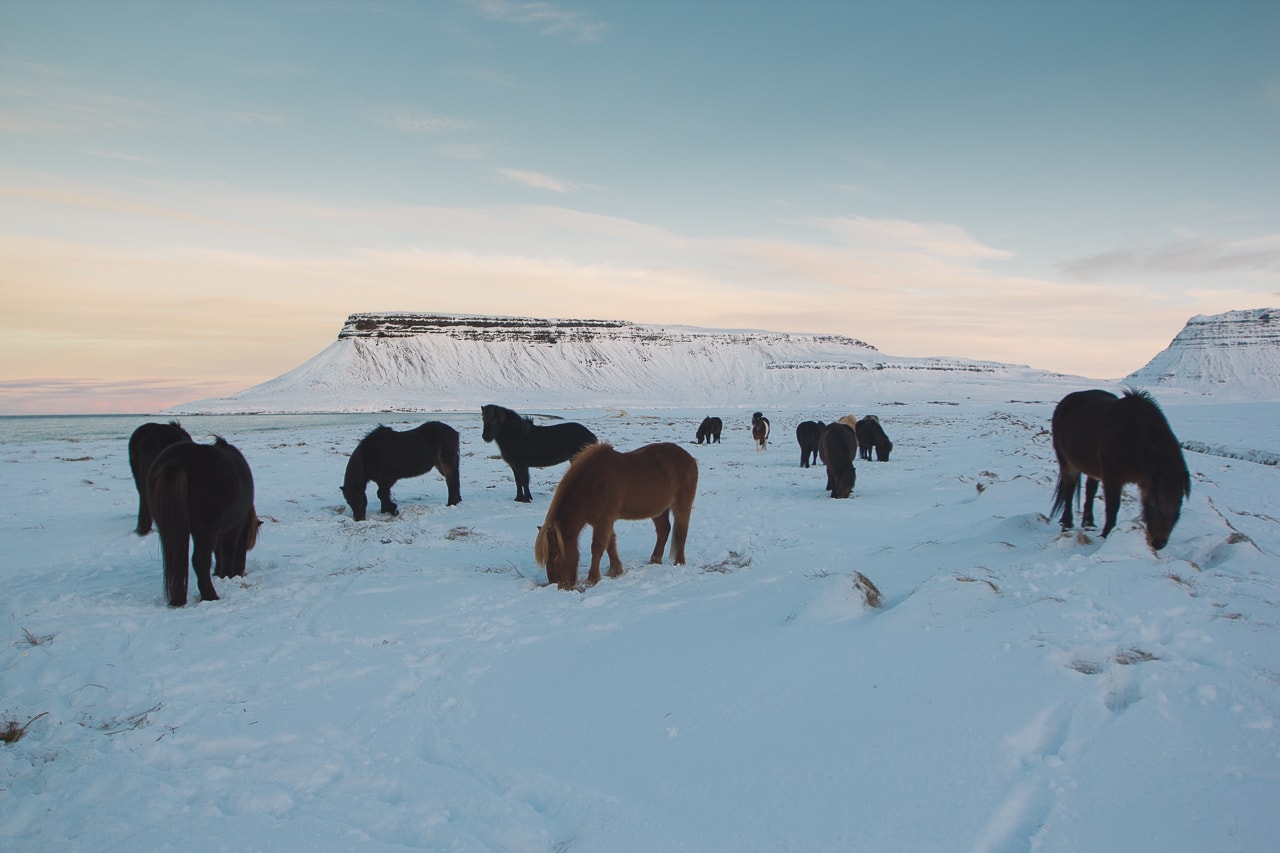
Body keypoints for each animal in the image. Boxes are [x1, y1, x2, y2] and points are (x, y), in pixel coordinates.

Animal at [149, 437, 259, 607]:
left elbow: (218, 551)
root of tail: (179, 460)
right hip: (205, 529)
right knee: (199, 560)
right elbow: (227, 550)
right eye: (246, 546)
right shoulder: (233, 527)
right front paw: (226, 574)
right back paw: (210, 595)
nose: (240, 572)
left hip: (170, 529)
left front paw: (219, 573)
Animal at [534, 442, 698, 589]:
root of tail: (689, 458)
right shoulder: (604, 522)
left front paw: (592, 579)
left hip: (682, 505)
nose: (558, 584)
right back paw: (655, 560)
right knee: (664, 530)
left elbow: (597, 547)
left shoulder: (603, 521)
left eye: (554, 555)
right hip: (659, 510)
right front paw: (616, 570)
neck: (592, 484)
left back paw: (679, 562)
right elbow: (610, 544)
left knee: (681, 532)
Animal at [1050, 388, 1191, 551]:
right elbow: (1112, 507)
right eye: (1154, 502)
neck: (1134, 437)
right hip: (1067, 464)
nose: (1159, 543)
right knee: (1069, 491)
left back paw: (1088, 523)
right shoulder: (1113, 478)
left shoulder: (1143, 482)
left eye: (1178, 503)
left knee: (1090, 489)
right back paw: (1067, 524)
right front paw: (1107, 534)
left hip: (1093, 469)